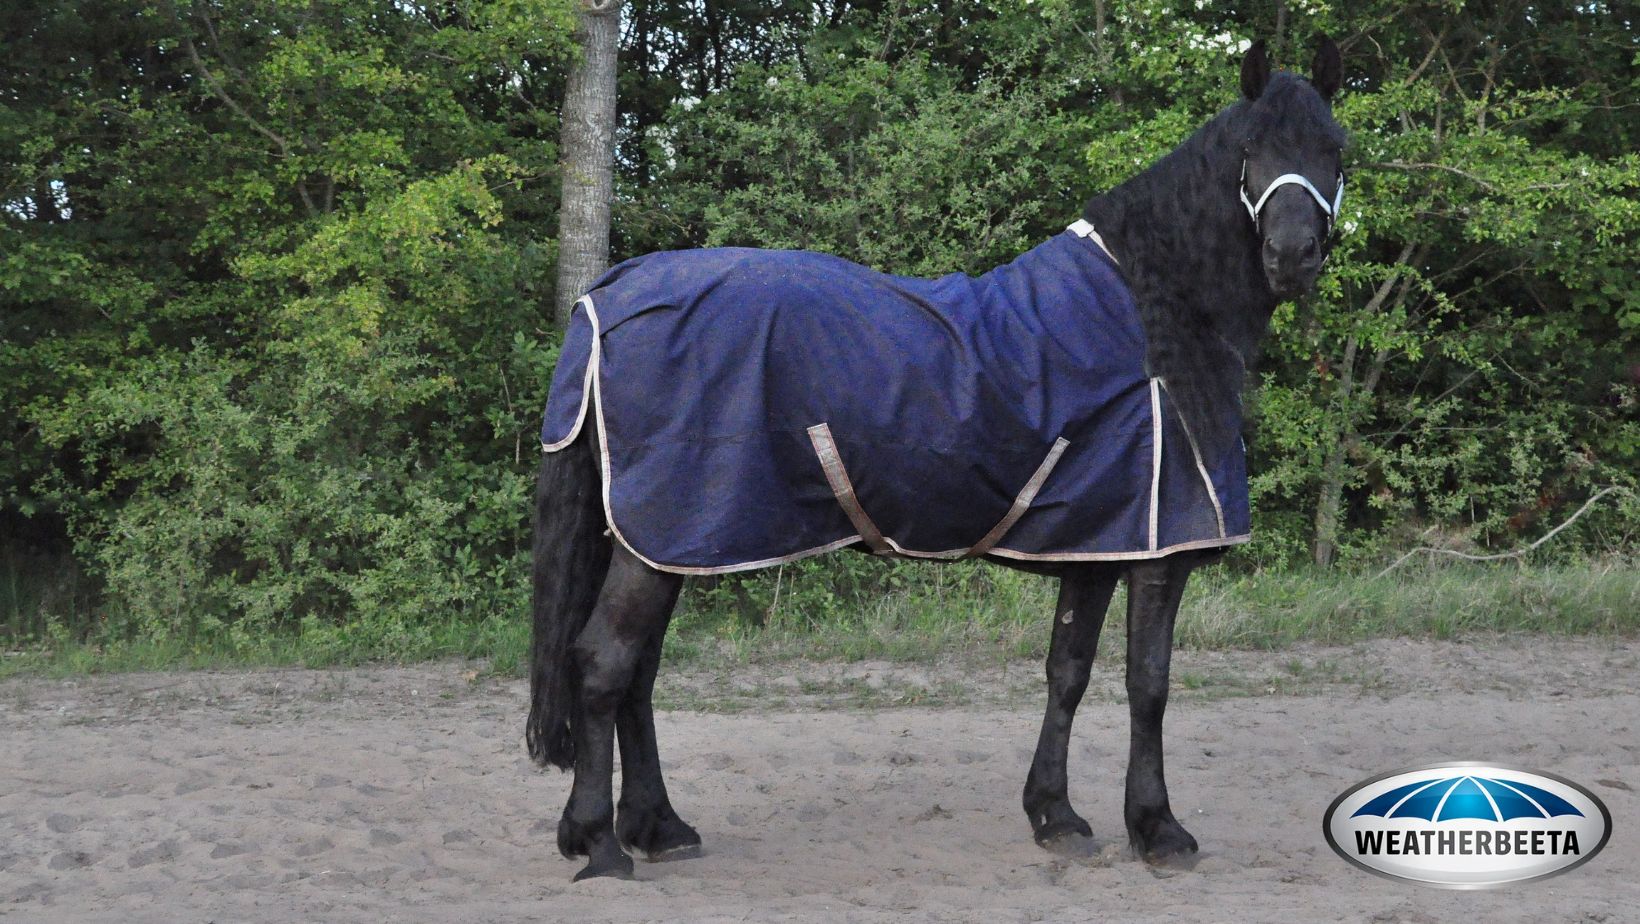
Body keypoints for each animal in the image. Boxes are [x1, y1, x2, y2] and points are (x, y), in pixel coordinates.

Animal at [524, 39, 1344, 886]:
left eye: (1334, 151)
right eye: (1250, 151)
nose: (1292, 256)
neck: (1157, 322)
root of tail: (611, 293)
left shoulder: (1097, 542)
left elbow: (1069, 671)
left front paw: (1055, 816)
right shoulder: (1159, 550)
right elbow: (1148, 683)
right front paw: (1158, 828)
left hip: (658, 542)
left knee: (639, 674)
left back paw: (659, 826)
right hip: (663, 539)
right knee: (604, 664)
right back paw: (599, 842)